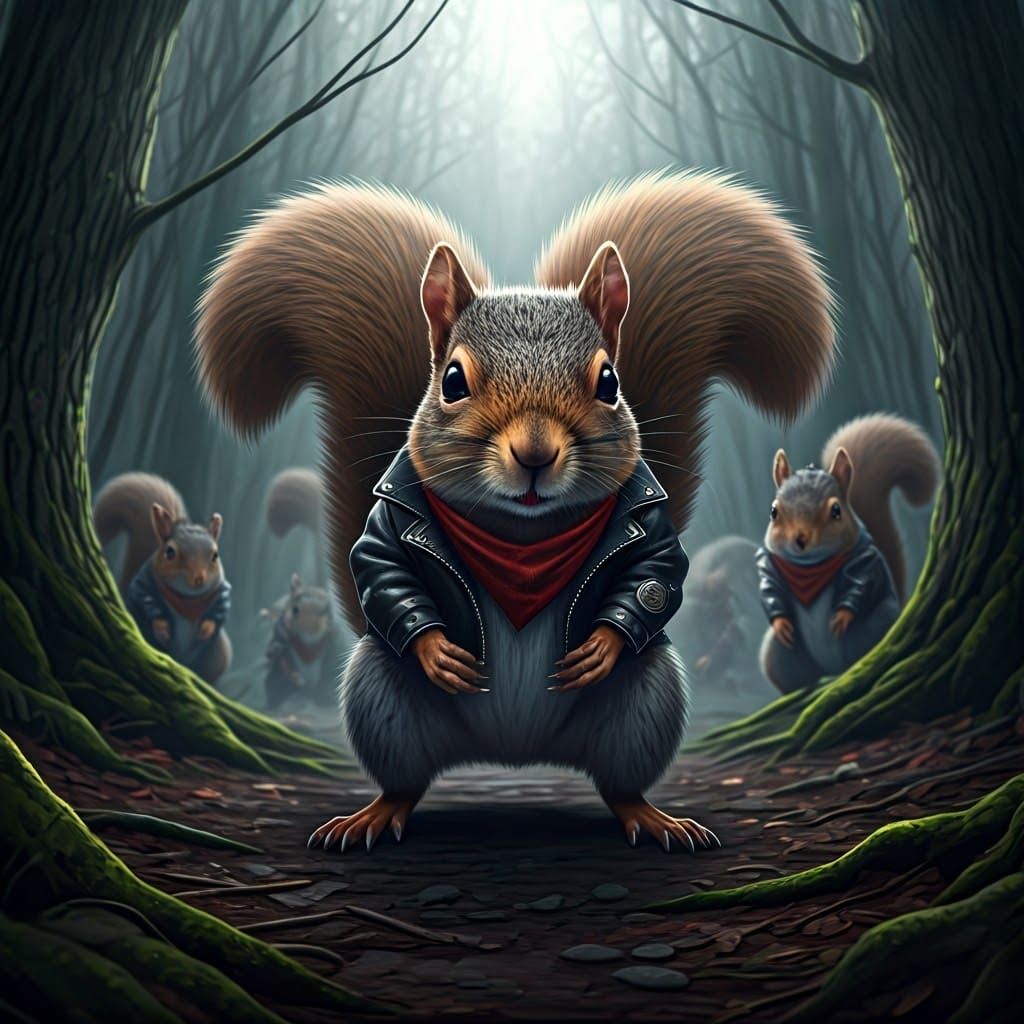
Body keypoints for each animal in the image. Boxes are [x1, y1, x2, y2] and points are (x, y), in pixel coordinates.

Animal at [93, 472, 232, 683]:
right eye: (170, 552)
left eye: (215, 555)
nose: (199, 578)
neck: (187, 600)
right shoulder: (144, 584)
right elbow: (149, 604)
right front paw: (163, 630)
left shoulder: (221, 591)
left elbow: (218, 610)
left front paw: (206, 629)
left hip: (217, 656)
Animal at [757, 413, 939, 692]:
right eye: (774, 511)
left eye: (836, 511)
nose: (800, 539)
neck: (809, 567)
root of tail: (830, 669)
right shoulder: (769, 562)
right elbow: (770, 587)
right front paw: (781, 623)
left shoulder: (864, 557)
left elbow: (861, 582)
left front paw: (841, 616)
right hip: (778, 654)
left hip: (876, 624)